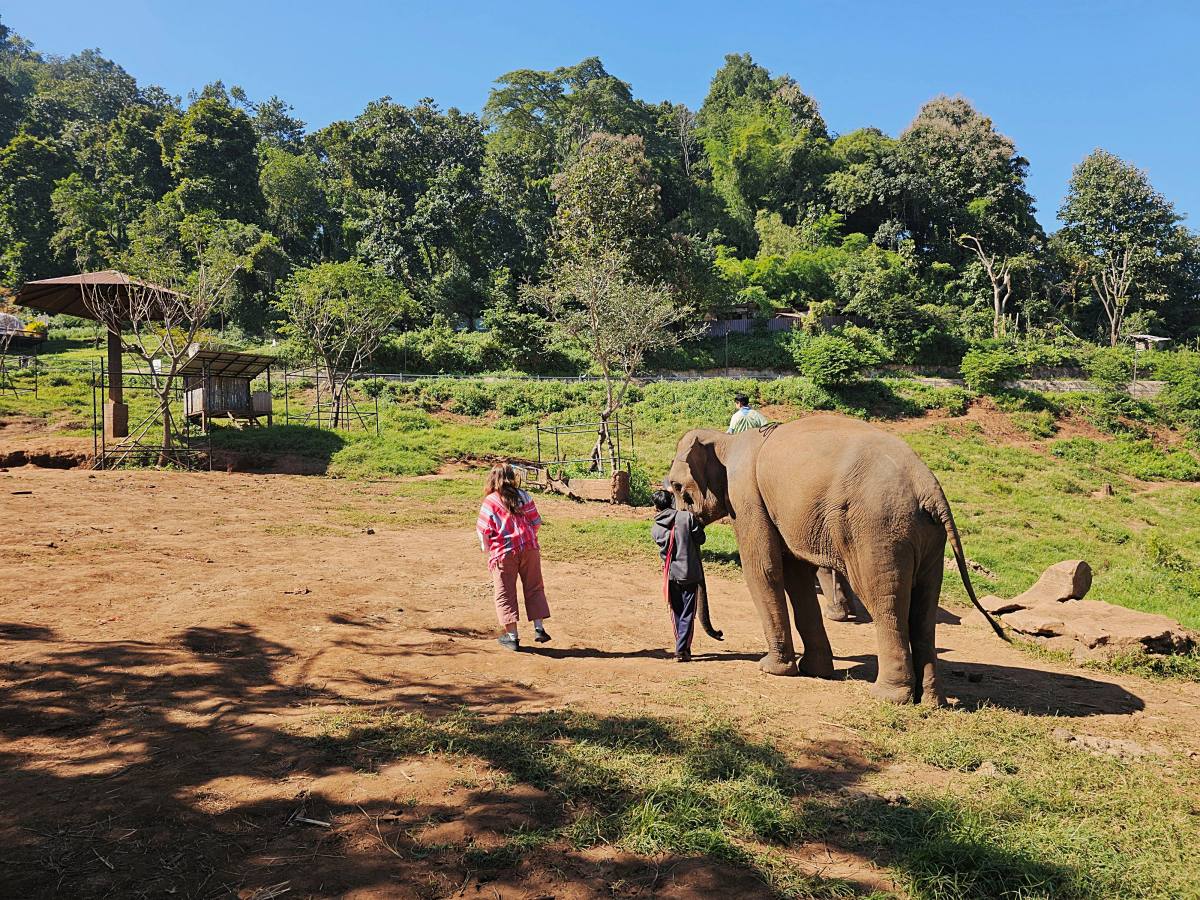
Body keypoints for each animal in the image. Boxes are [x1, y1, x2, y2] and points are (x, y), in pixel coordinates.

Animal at [666, 415, 1006, 704]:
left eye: (677, 487)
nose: (721, 634)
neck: (728, 440)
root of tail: (931, 489)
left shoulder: (747, 498)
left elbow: (764, 571)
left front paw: (771, 669)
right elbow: (796, 577)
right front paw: (814, 670)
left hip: (878, 530)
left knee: (886, 604)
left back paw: (888, 697)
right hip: (928, 538)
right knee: (924, 608)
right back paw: (932, 701)